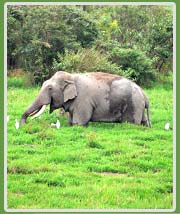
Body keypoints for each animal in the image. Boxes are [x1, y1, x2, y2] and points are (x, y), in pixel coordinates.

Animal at [20, 71, 152, 127]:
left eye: (50, 88)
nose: (24, 124)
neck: (72, 76)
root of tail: (144, 94)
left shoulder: (83, 100)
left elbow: (79, 122)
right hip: (138, 106)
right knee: (143, 121)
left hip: (132, 105)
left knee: (130, 124)